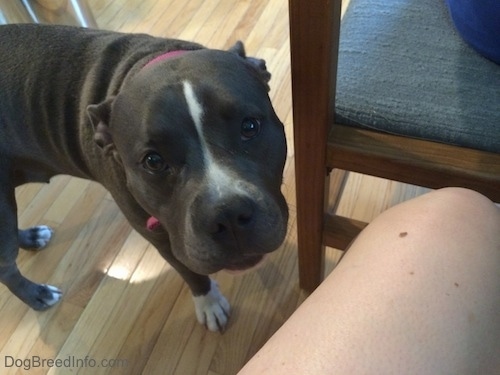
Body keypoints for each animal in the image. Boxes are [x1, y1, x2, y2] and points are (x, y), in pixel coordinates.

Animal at [0, 25, 290, 334]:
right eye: (153, 161)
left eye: (249, 126)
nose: (228, 214)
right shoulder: (162, 238)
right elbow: (191, 272)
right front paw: (209, 303)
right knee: (6, 268)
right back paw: (37, 294)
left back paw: (31, 237)